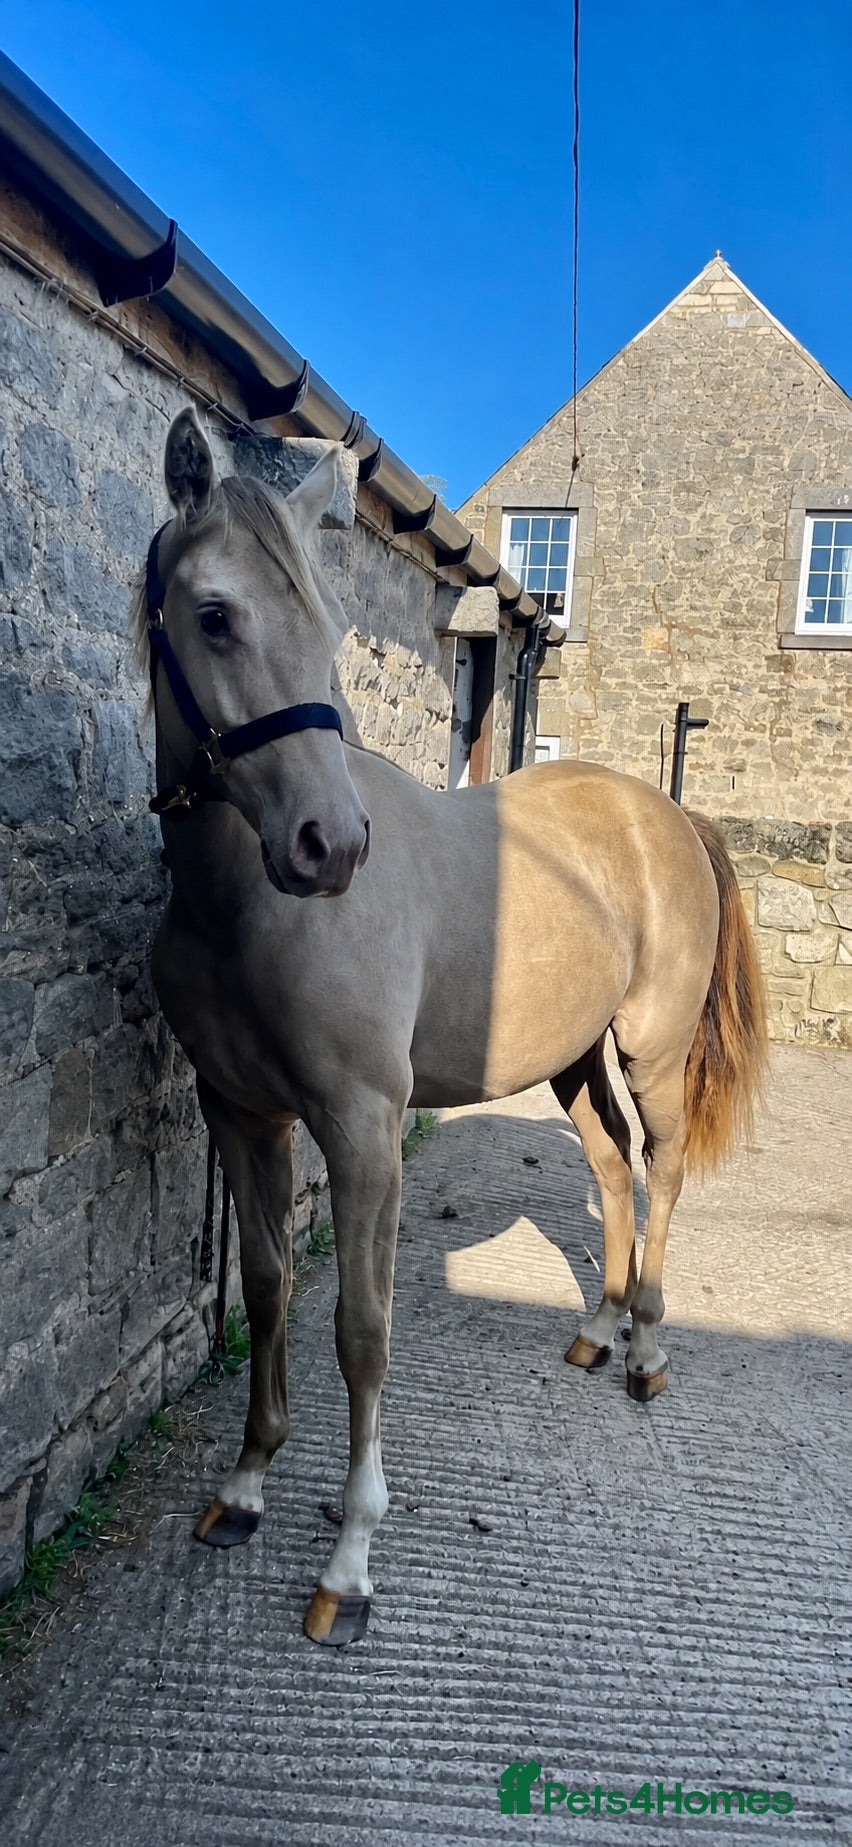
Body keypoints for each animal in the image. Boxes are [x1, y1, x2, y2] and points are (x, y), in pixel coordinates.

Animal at [136, 407, 767, 1646]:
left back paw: (649, 1349)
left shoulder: (362, 1131)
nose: (330, 844)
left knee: (662, 1172)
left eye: (329, 623)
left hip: (653, 1052)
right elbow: (270, 1291)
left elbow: (362, 1328)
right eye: (215, 613)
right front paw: (246, 1484)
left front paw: (349, 1558)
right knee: (612, 1171)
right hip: (571, 1061)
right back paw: (597, 1331)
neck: (243, 904)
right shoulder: (245, 1117)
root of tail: (667, 812)